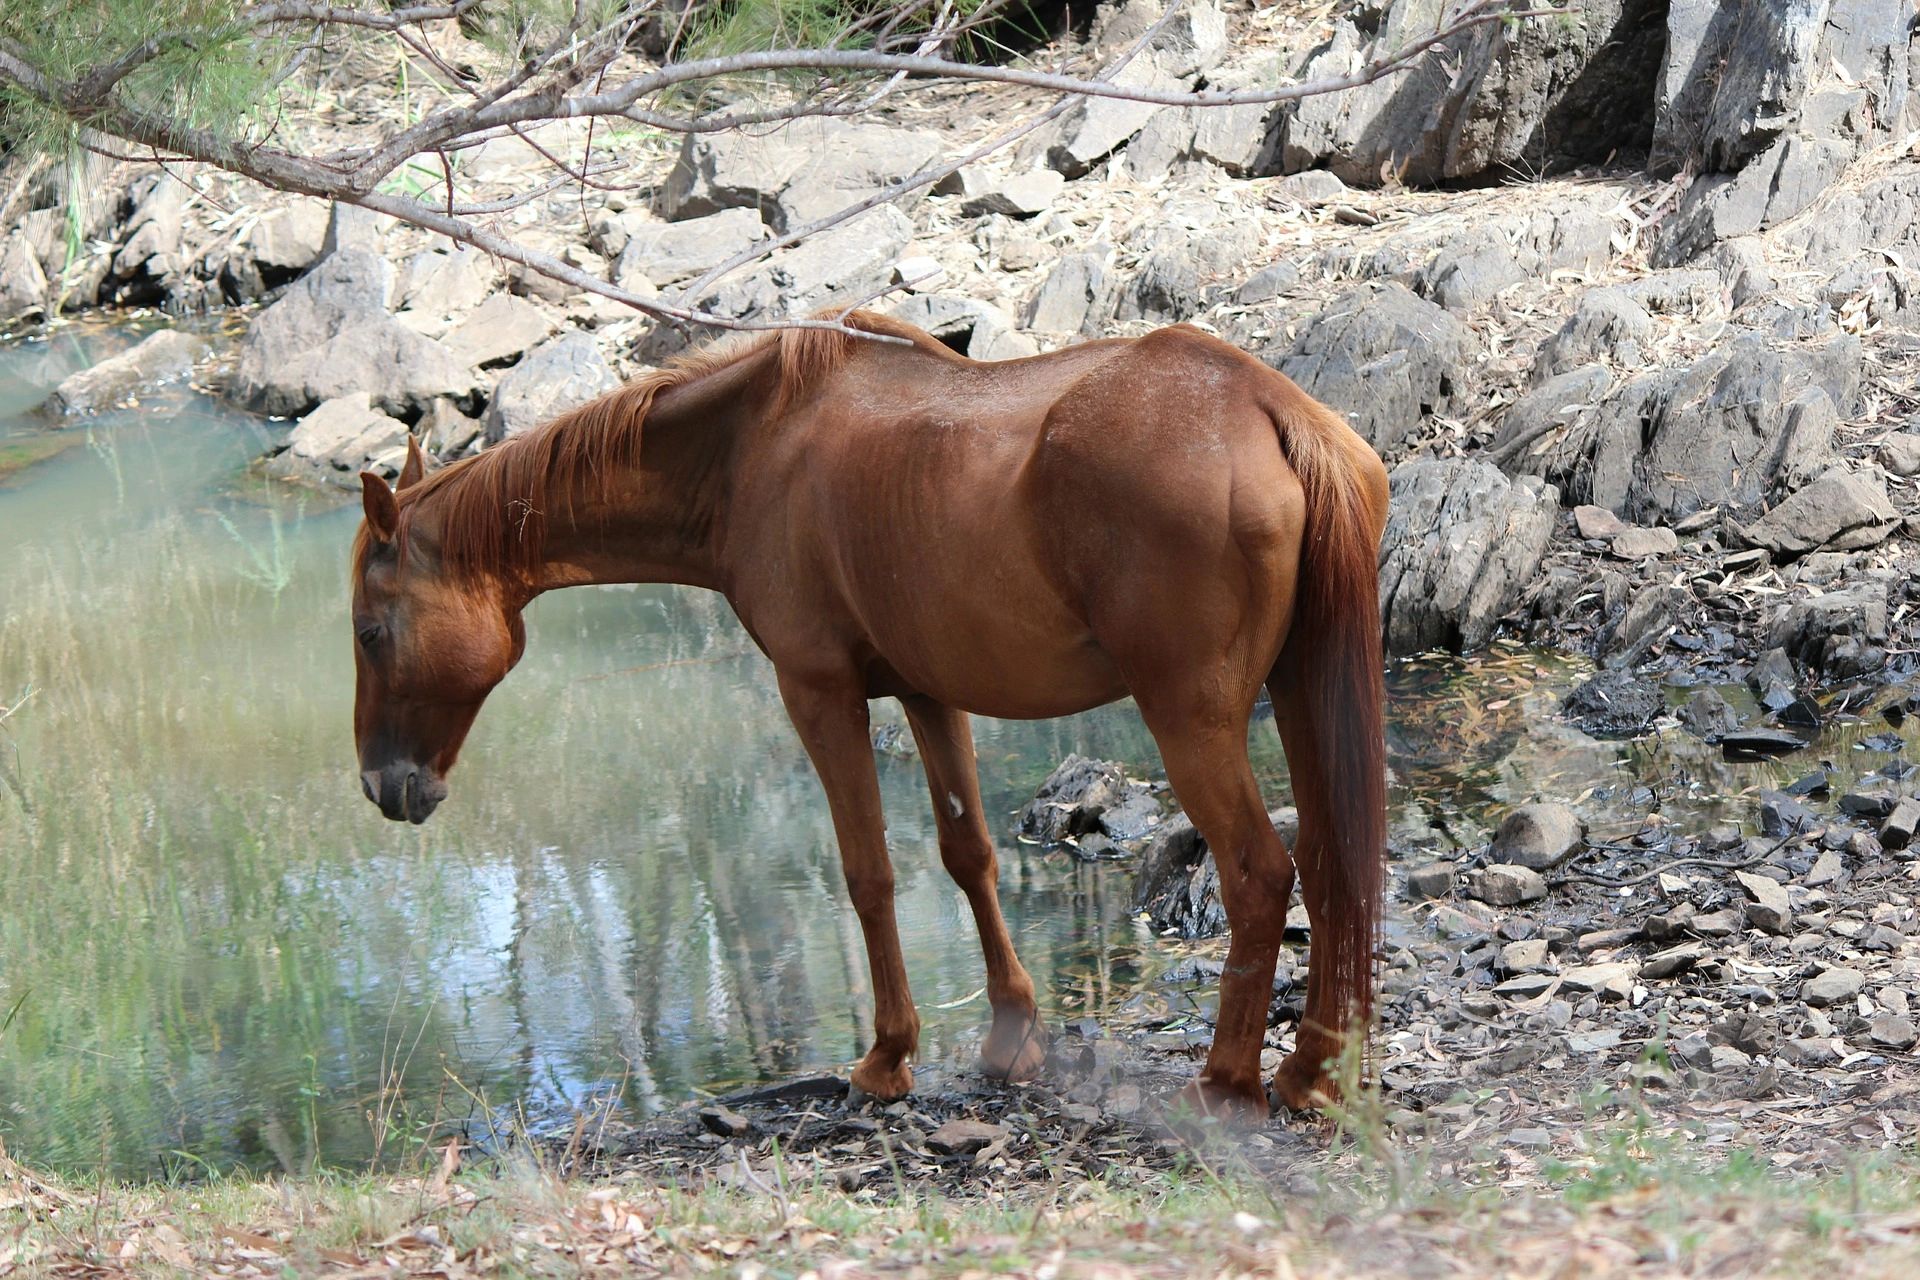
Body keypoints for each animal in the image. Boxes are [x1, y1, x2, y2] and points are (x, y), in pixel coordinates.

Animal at [349, 307, 1382, 1113]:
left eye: (368, 631)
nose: (382, 787)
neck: (752, 449)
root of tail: (1269, 405)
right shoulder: (928, 694)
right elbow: (969, 855)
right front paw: (1012, 1037)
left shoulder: (819, 693)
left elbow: (867, 872)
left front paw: (888, 1057)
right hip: (1302, 693)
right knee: (1335, 861)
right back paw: (1312, 1074)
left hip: (1190, 721)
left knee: (1260, 875)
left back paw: (1226, 1083)